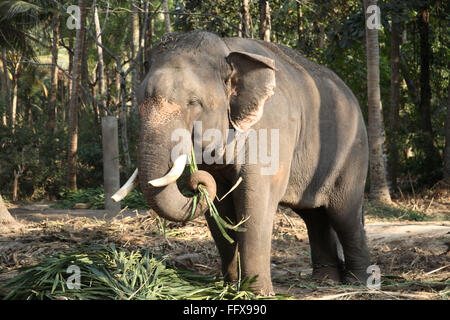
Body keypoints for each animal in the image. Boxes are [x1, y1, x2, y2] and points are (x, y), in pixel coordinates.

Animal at [111, 30, 370, 296]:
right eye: (138, 102)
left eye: (194, 102)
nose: (196, 184)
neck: (227, 51)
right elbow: (219, 207)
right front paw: (230, 287)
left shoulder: (270, 131)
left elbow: (255, 200)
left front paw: (257, 292)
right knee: (314, 216)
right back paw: (326, 281)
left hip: (353, 153)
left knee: (344, 214)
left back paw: (358, 282)